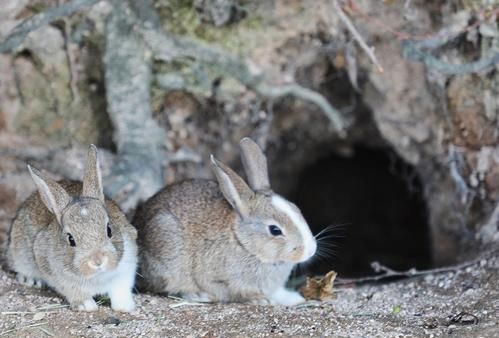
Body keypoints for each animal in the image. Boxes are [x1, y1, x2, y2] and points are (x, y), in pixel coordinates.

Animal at [6, 145, 139, 312]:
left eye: (109, 230)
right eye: (70, 239)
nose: (98, 261)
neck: (97, 275)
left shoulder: (126, 270)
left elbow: (120, 290)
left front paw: (125, 307)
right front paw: (87, 306)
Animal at [134, 137, 316, 306]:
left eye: (297, 210)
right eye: (275, 230)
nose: (310, 251)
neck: (243, 242)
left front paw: (294, 299)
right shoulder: (217, 277)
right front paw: (260, 300)